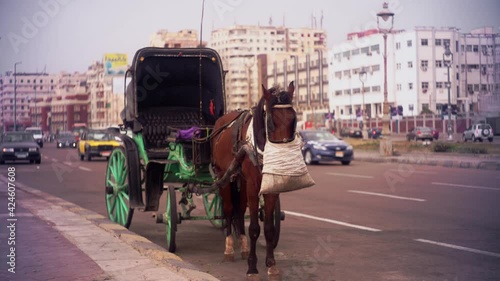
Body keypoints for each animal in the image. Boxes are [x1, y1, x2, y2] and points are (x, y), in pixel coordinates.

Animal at [211, 81, 296, 278]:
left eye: (293, 119)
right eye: (271, 121)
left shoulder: (270, 187)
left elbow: (269, 228)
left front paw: (271, 265)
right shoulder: (252, 185)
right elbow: (255, 228)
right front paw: (252, 267)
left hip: (240, 181)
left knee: (240, 211)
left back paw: (243, 245)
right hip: (223, 176)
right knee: (229, 210)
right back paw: (229, 248)